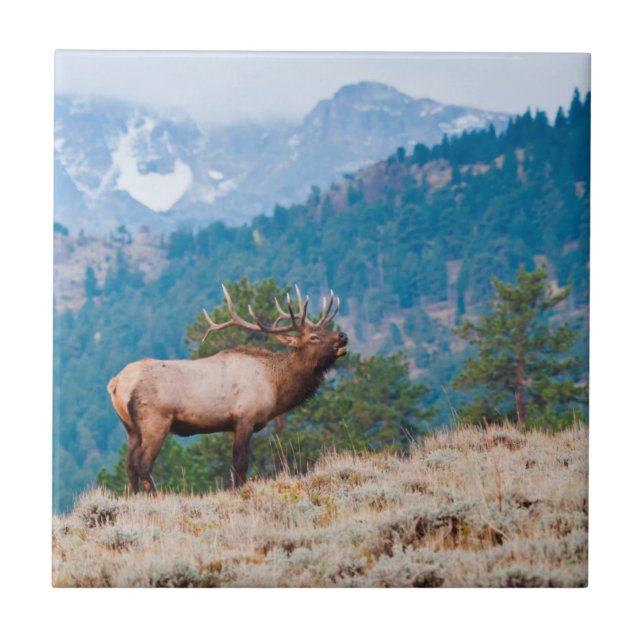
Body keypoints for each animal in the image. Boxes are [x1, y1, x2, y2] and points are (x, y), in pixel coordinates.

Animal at [107, 285, 347, 494]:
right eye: (313, 337)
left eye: (324, 328)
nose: (343, 336)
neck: (275, 387)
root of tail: (116, 383)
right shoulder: (245, 417)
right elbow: (240, 463)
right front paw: (240, 491)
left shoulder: (233, 424)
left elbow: (234, 465)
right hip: (155, 421)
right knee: (143, 463)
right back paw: (155, 497)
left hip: (130, 428)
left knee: (129, 464)